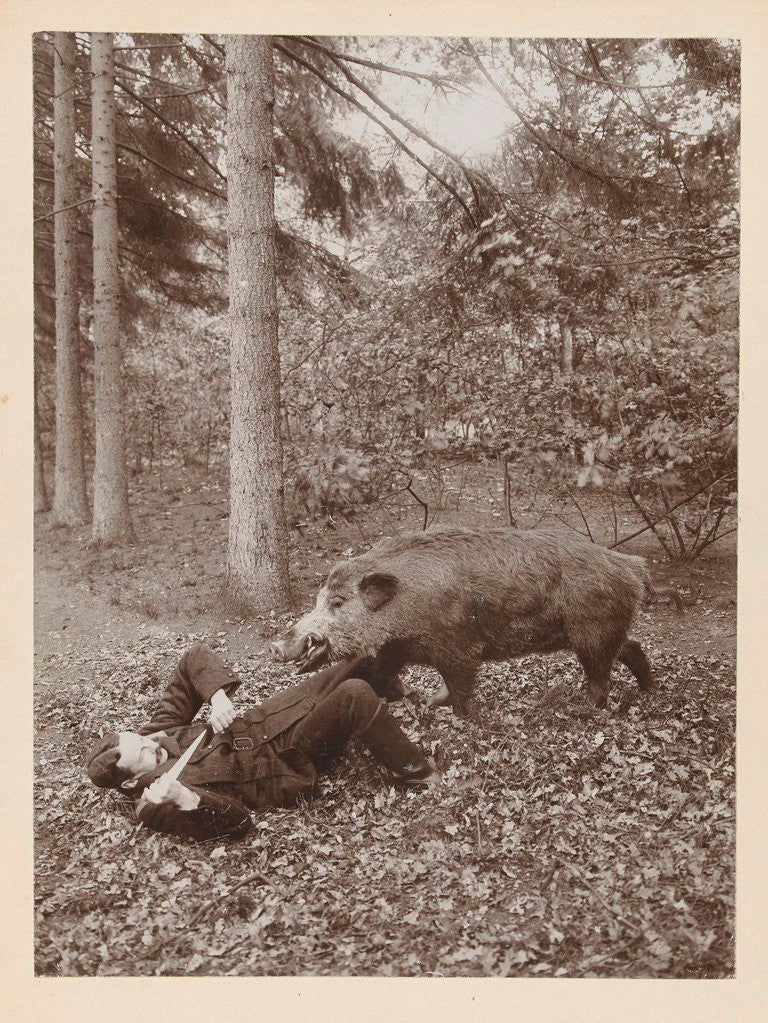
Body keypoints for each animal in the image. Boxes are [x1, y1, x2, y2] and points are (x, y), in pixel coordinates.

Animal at [270, 526, 660, 715]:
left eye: (337, 602)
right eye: (318, 599)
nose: (275, 645)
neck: (405, 605)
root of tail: (632, 565)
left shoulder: (458, 646)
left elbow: (459, 684)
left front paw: (459, 716)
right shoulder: (398, 647)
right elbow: (384, 674)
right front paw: (422, 699)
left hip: (591, 632)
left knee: (600, 674)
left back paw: (584, 708)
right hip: (606, 630)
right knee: (632, 648)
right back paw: (649, 690)